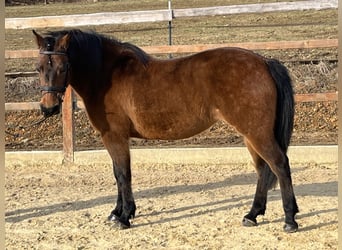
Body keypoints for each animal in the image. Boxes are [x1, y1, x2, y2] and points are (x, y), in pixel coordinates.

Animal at [33, 28, 298, 232]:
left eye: (64, 66)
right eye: (39, 67)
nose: (49, 107)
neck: (107, 74)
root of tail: (264, 62)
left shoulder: (115, 137)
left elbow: (123, 174)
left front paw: (124, 217)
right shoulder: (114, 138)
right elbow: (117, 174)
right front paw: (116, 212)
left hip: (257, 133)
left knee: (279, 164)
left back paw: (290, 219)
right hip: (250, 135)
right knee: (263, 170)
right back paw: (252, 215)